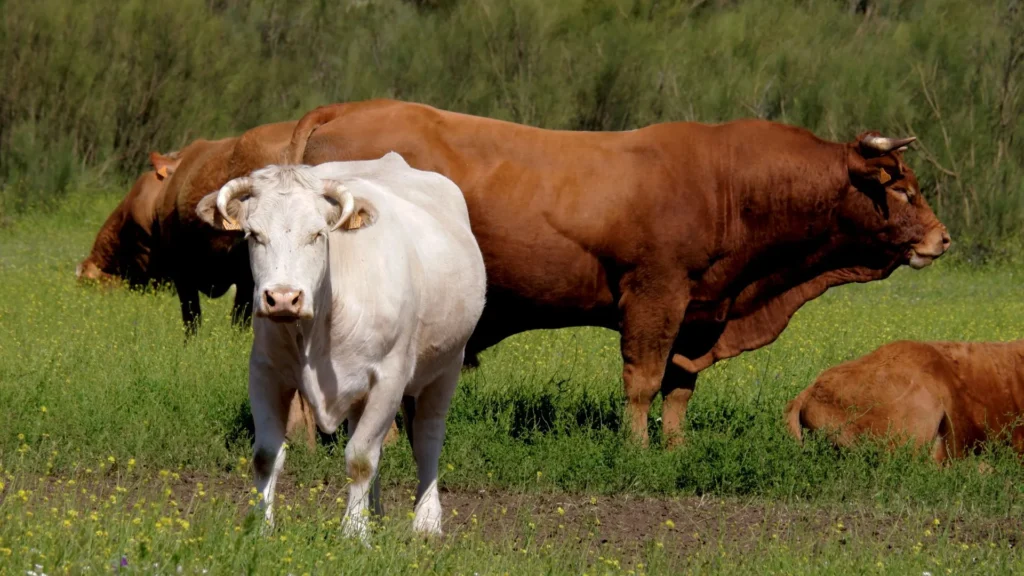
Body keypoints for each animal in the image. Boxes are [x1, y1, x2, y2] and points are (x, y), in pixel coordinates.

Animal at [195, 154, 486, 538]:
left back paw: (426, 520)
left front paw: (354, 534)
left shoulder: (390, 378)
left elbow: (361, 459)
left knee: (427, 438)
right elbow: (266, 455)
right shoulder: (265, 372)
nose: (283, 298)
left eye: (317, 234)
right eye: (254, 235)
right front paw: (260, 528)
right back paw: (374, 513)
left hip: (447, 366)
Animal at [281, 99, 951, 447]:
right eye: (903, 188)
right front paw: (636, 449)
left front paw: (676, 449)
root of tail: (353, 106)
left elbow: (680, 386)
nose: (942, 239)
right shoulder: (656, 294)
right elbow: (643, 381)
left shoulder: (702, 312)